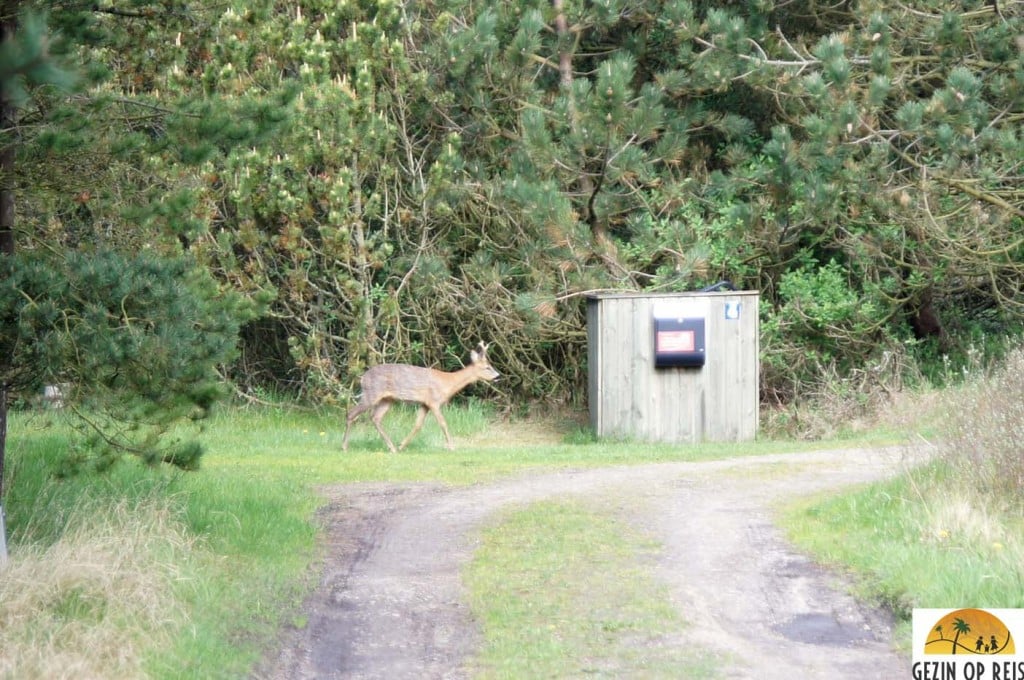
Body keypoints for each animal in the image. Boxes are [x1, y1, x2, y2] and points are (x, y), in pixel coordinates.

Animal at [344, 342, 499, 454]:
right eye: (487, 367)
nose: (498, 376)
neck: (448, 383)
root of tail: (362, 378)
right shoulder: (434, 401)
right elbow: (443, 423)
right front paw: (451, 447)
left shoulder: (424, 404)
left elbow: (417, 425)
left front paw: (401, 446)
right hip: (371, 393)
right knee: (351, 413)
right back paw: (345, 446)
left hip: (387, 399)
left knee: (375, 418)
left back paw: (392, 448)